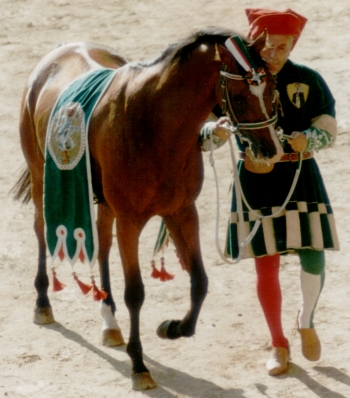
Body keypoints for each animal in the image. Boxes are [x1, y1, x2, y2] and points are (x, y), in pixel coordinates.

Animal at [13, 27, 284, 388]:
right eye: (239, 97)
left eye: (272, 88)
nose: (272, 150)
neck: (153, 125)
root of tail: (60, 51)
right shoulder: (130, 220)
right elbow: (136, 293)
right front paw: (139, 364)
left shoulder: (182, 212)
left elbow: (199, 281)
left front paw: (175, 328)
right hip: (43, 180)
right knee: (43, 231)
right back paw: (43, 303)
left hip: (104, 203)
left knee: (102, 243)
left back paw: (109, 320)